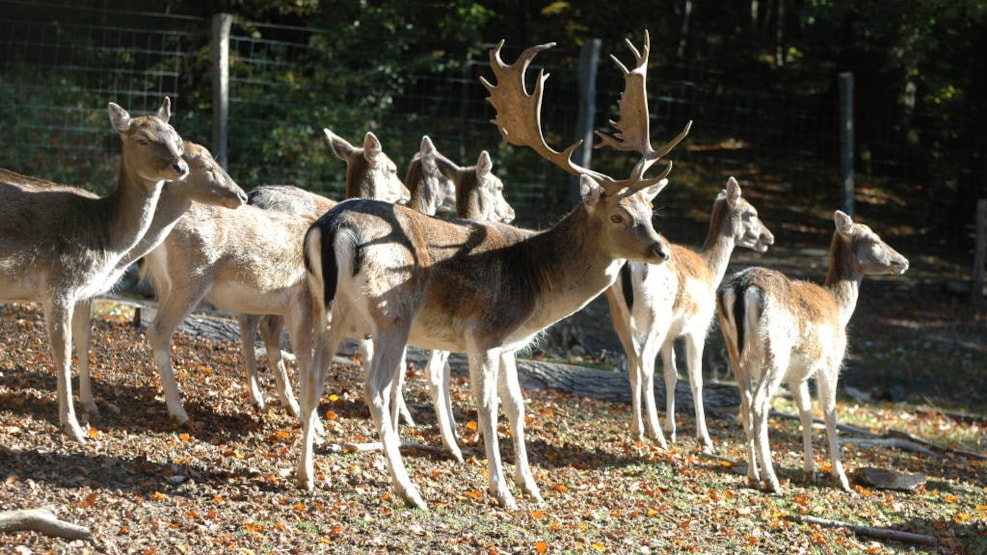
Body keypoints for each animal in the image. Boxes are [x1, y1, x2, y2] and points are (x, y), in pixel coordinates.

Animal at [0, 96, 189, 444]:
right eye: (142, 139)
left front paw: (92, 407)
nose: (179, 167)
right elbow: (62, 349)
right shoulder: (58, 283)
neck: (104, 231)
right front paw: (73, 427)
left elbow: (85, 341)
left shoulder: (84, 292)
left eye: (177, 138)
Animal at [298, 30, 692, 510]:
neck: (537, 280)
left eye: (650, 211)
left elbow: (517, 407)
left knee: (313, 374)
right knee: (376, 388)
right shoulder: (483, 333)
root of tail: (333, 226)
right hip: (392, 313)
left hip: (326, 306)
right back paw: (408, 490)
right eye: (618, 216)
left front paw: (531, 487)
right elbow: (487, 408)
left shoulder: (508, 344)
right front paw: (502, 491)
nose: (660, 250)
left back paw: (306, 475)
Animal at [604, 176, 776, 454]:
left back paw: (638, 430)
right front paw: (704, 439)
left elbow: (673, 374)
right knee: (645, 362)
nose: (768, 237)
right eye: (751, 212)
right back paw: (655, 435)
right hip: (657, 314)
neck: (710, 270)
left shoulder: (671, 334)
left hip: (618, 314)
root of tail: (630, 263)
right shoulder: (698, 326)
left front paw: (672, 430)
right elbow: (696, 379)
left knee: (632, 362)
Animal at [716, 211, 912, 494]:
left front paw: (811, 471)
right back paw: (772, 479)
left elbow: (806, 414)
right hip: (775, 352)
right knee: (759, 403)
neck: (840, 308)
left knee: (744, 403)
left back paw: (753, 476)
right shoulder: (831, 361)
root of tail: (743, 287)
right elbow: (829, 412)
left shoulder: (797, 375)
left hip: (735, 352)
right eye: (873, 239)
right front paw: (841, 479)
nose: (903, 261)